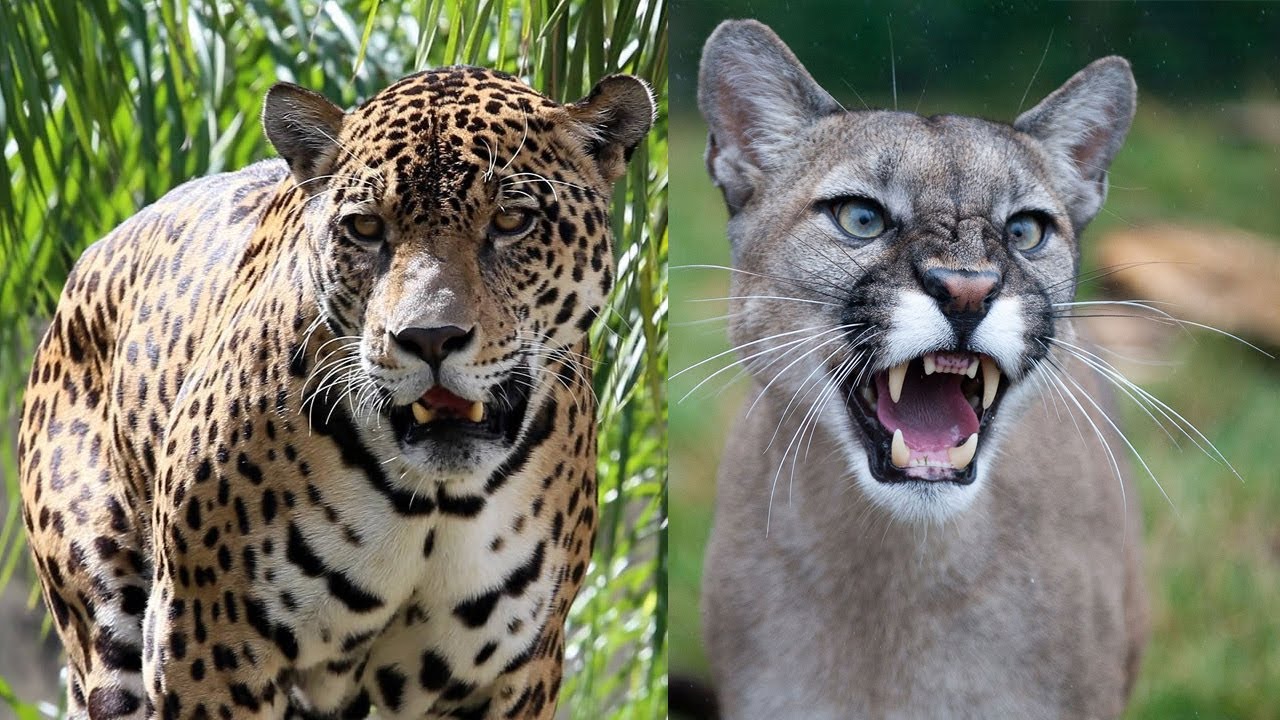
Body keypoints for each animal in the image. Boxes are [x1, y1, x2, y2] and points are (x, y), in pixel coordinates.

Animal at [17, 64, 653, 719]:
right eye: (367, 228)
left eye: (510, 221)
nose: (429, 338)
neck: (435, 503)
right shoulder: (206, 643)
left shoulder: (513, 673)